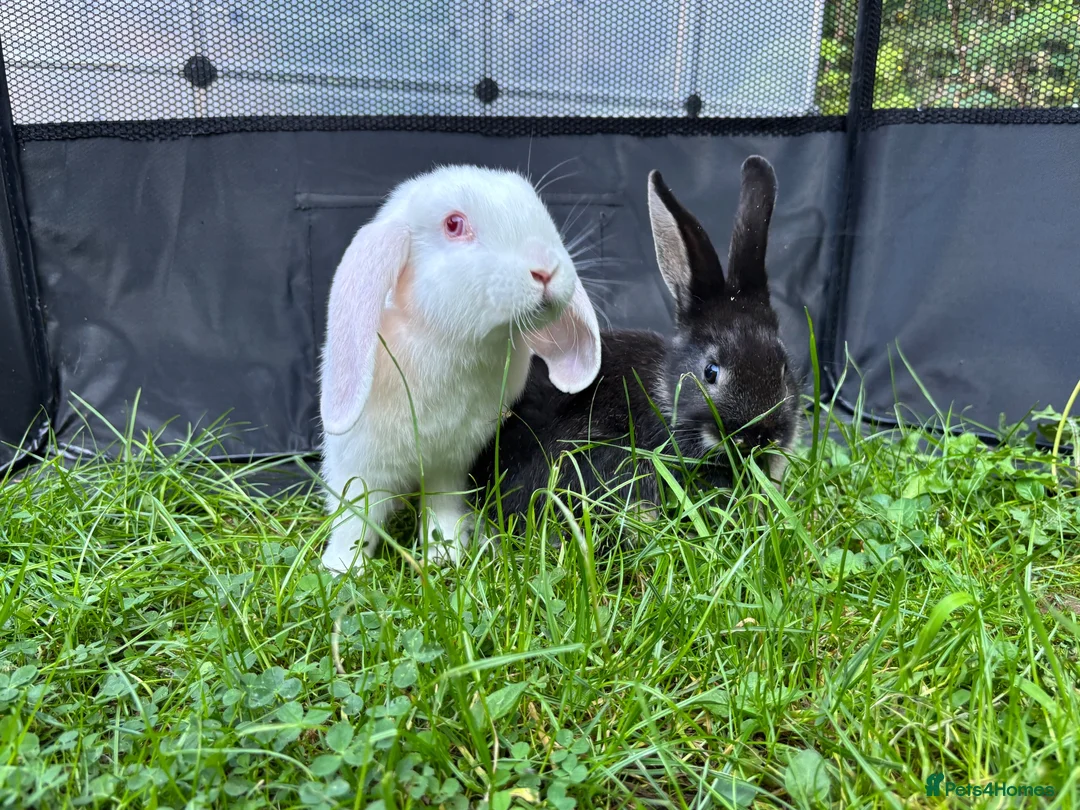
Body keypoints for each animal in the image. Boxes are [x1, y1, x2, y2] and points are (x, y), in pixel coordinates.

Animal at [319, 164, 602, 573]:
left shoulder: (451, 461)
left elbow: (442, 504)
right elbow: (357, 516)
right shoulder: (359, 464)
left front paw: (446, 552)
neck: (450, 342)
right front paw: (342, 568)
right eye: (454, 224)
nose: (546, 270)